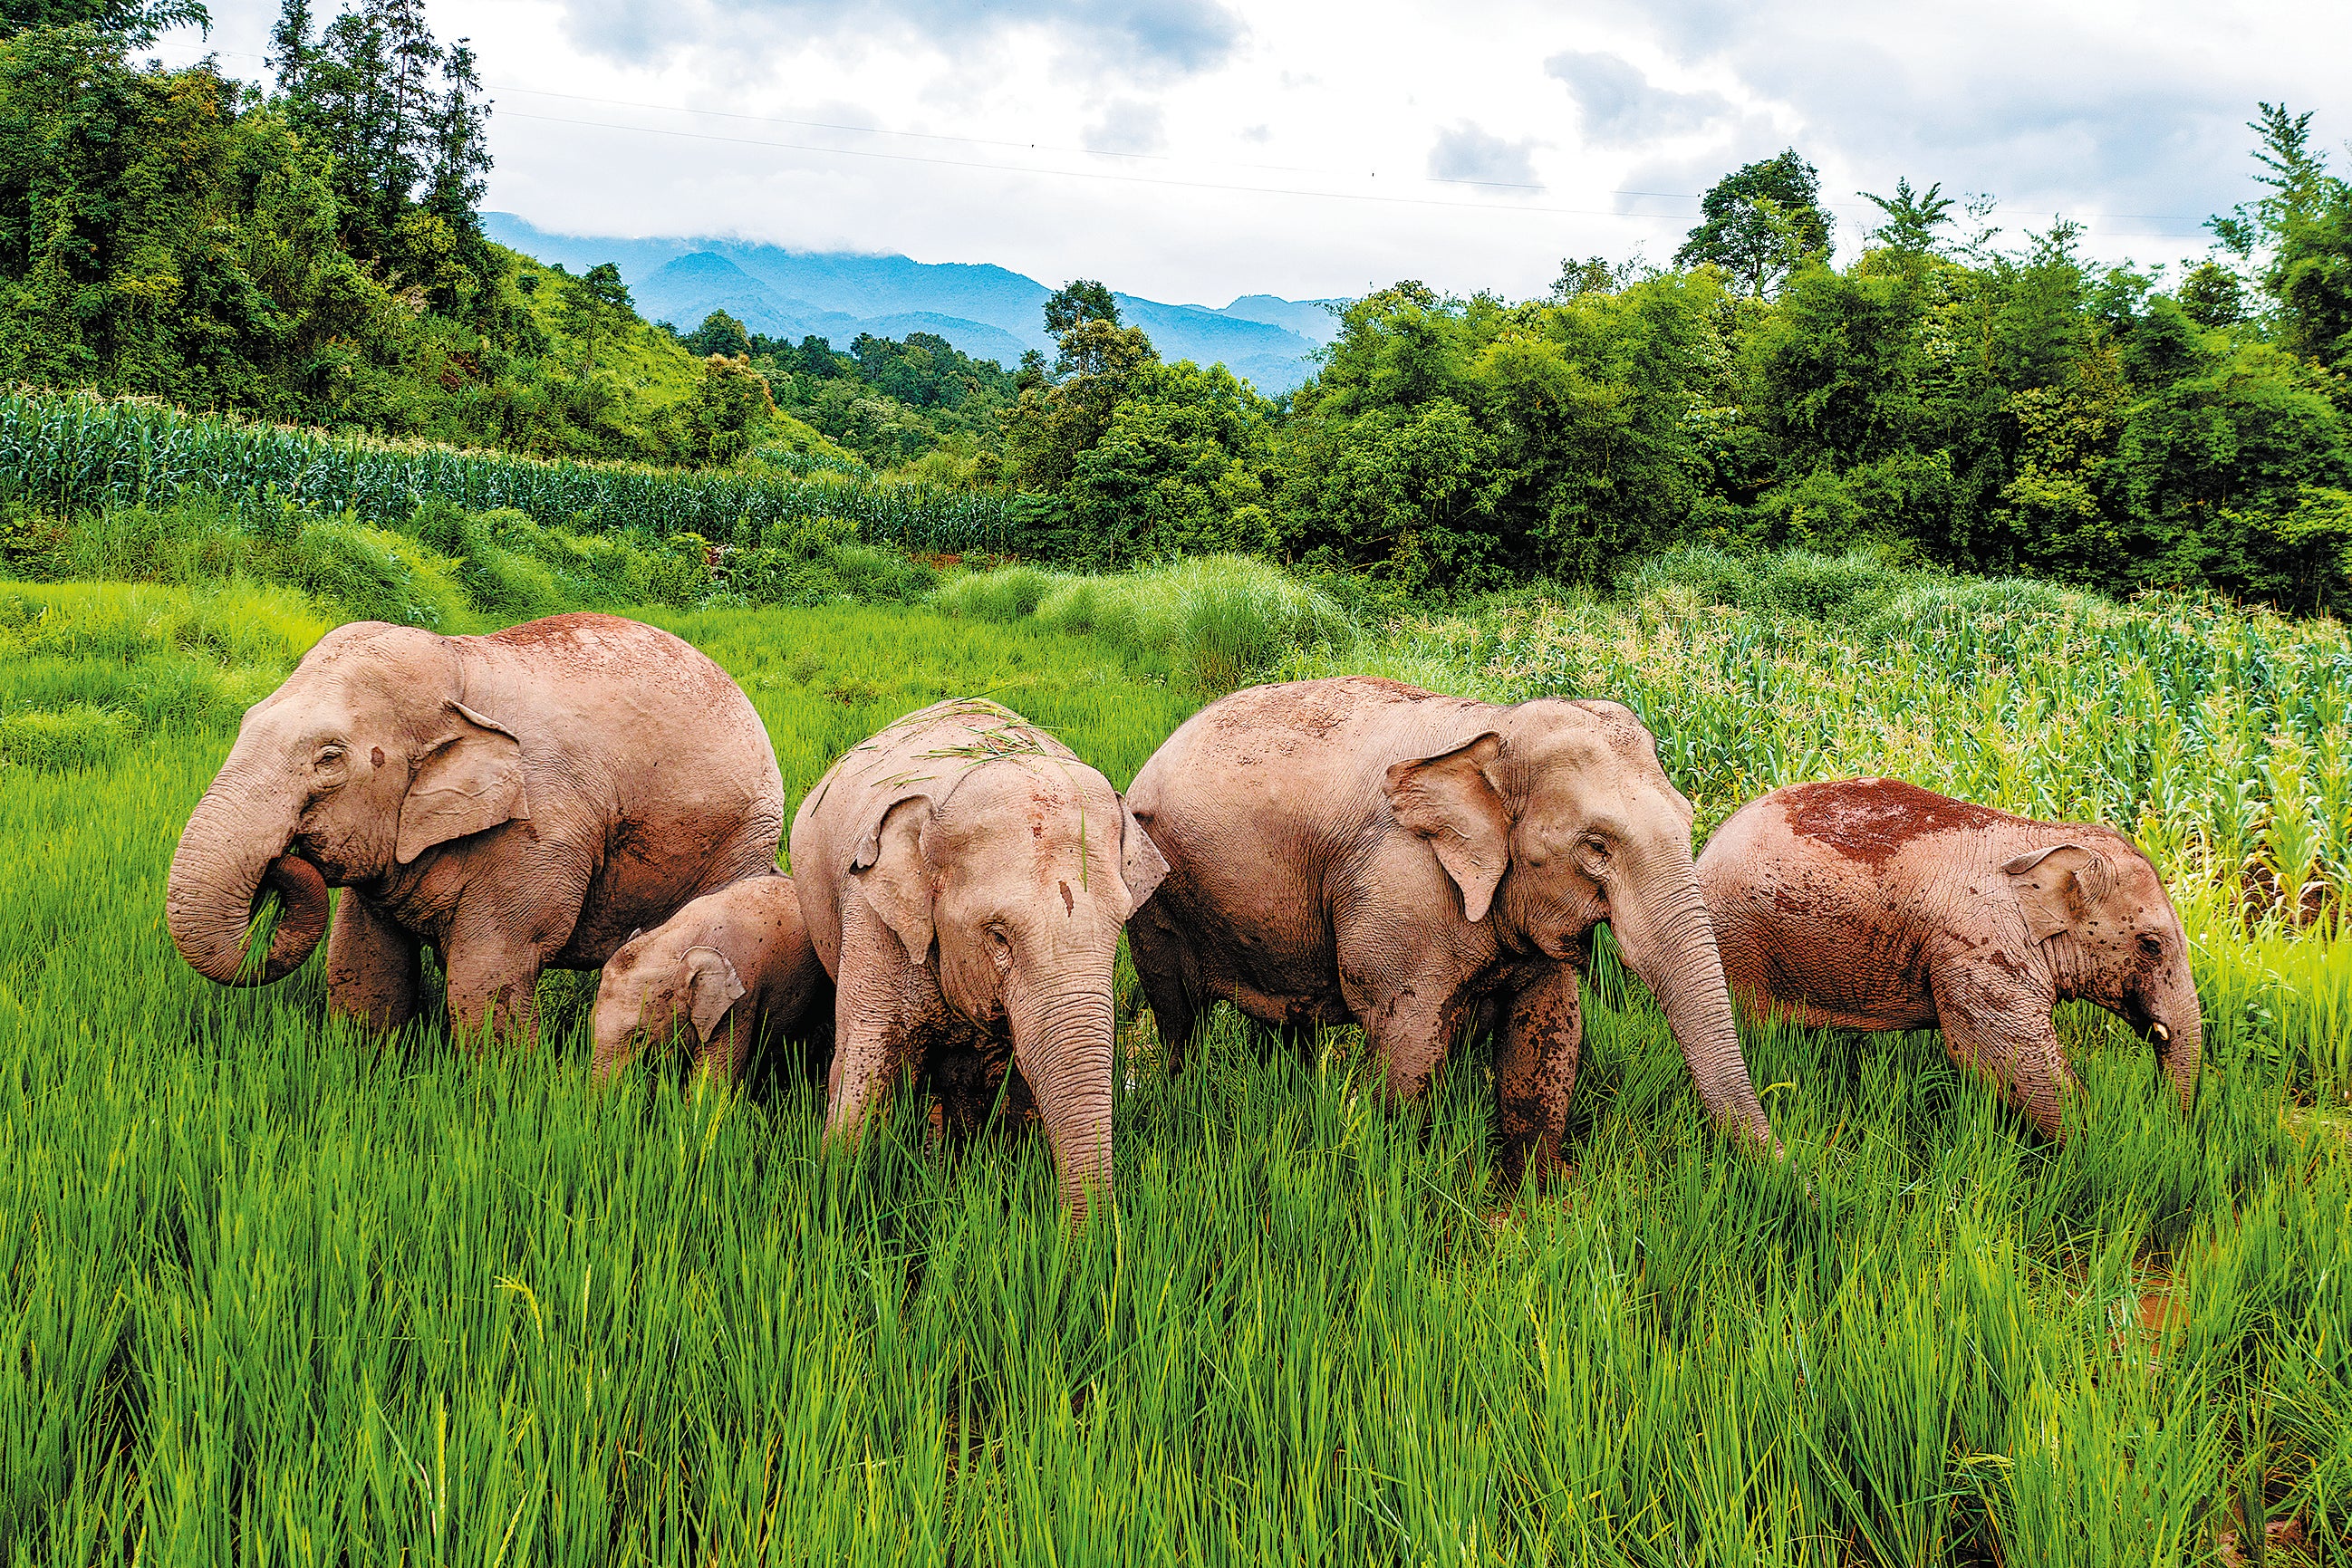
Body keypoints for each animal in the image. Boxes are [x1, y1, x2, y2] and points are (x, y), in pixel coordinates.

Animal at [170, 611, 790, 1044]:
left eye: (329, 758)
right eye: (246, 719)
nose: (279, 861)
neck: (460, 664)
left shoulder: (538, 828)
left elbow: (487, 976)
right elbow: (361, 963)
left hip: (741, 838)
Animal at [790, 690, 1166, 1222]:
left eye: (1118, 929)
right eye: (998, 937)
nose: (1082, 1237)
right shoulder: (871, 918)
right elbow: (864, 1068)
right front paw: (835, 1202)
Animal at [1129, 677, 1769, 1175]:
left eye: (1688, 818)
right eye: (1595, 847)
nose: (1779, 1167)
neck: (1492, 729)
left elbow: (1546, 1032)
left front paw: (1537, 1192)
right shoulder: (1398, 889)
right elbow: (1409, 1047)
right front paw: (1401, 1170)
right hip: (1155, 899)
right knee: (1178, 1016)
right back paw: (1178, 1096)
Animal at [1693, 775, 2201, 1132]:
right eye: (2151, 946)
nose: (2167, 1123)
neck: (2046, 840)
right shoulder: (1979, 953)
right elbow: (2009, 1065)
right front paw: (2089, 1145)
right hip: (1739, 940)